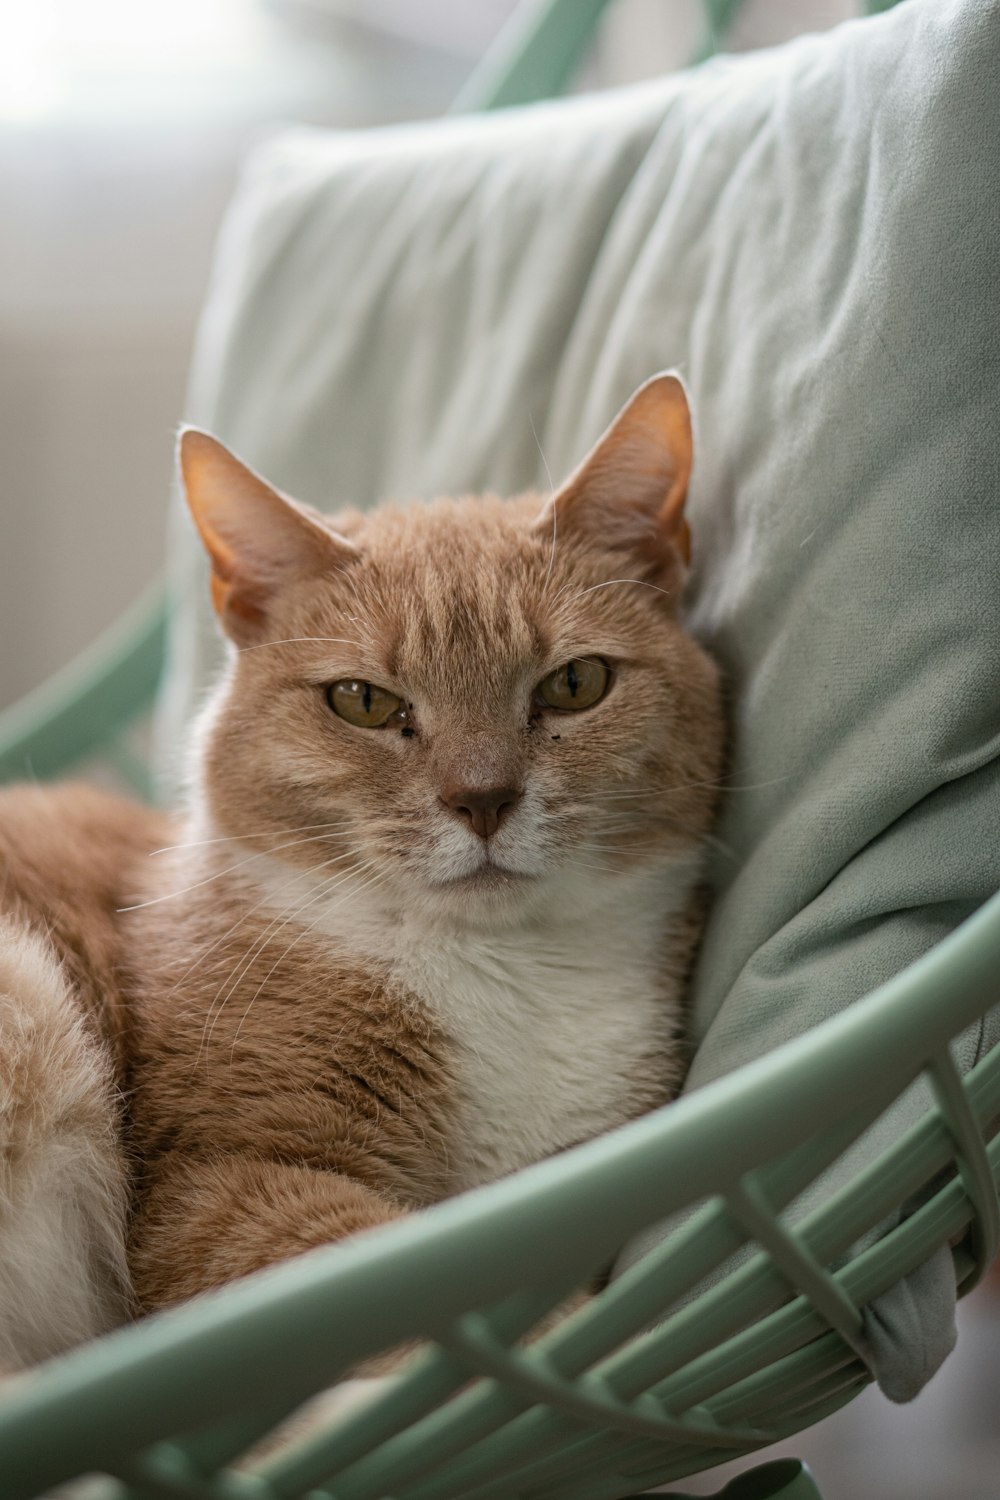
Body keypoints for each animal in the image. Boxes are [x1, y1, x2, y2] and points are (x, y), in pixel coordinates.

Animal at [0, 372, 719, 1374]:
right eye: (364, 702)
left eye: (575, 685)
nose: (482, 798)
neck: (503, 976)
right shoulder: (224, 1183)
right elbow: (422, 1289)